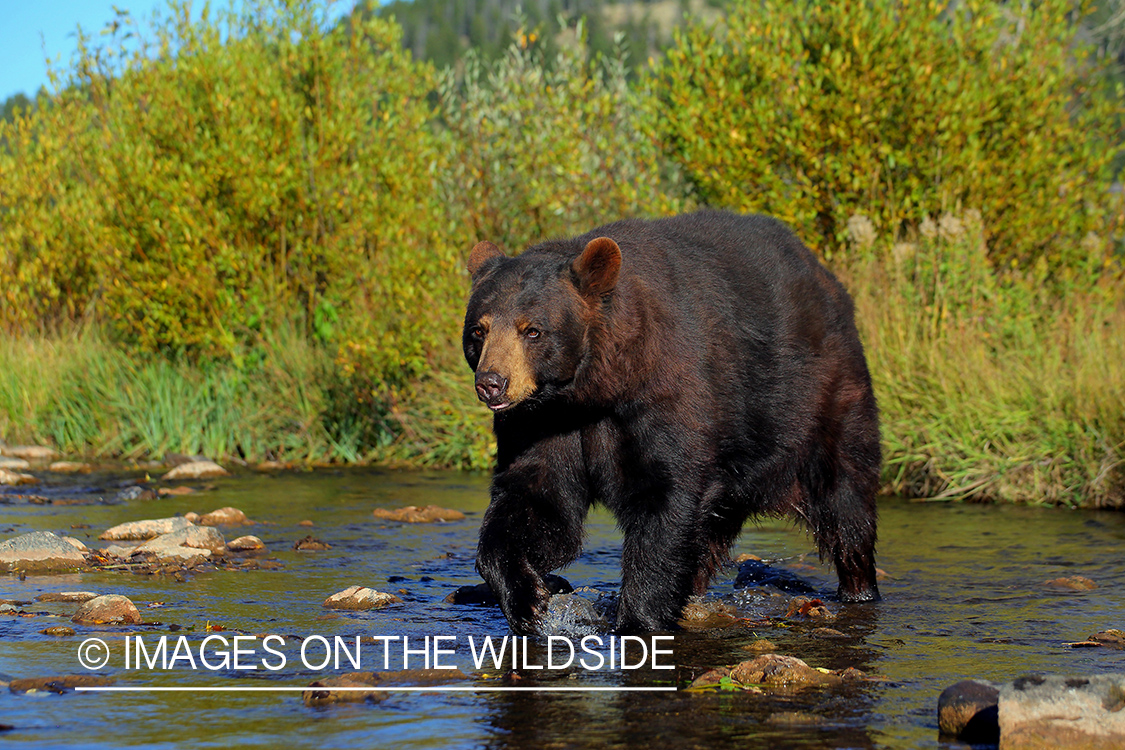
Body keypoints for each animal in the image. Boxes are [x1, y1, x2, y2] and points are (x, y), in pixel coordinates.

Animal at [461, 210, 882, 634]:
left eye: (532, 329)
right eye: (479, 330)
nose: (492, 383)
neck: (591, 391)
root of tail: (825, 277)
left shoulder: (665, 393)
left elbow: (665, 497)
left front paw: (638, 618)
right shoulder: (542, 424)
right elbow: (537, 503)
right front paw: (529, 600)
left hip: (822, 401)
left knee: (846, 504)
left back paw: (859, 586)